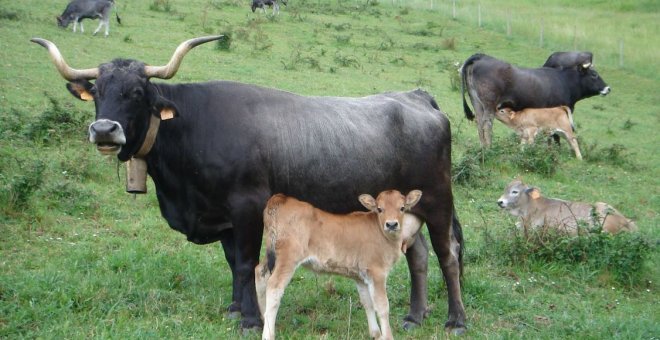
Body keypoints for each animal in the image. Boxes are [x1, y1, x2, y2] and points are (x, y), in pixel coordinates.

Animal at [255, 190, 420, 338]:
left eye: (402, 208)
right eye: (380, 209)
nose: (391, 224)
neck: (382, 234)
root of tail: (282, 198)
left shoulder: (361, 276)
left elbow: (367, 303)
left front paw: (376, 334)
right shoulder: (377, 272)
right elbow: (382, 306)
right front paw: (387, 336)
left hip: (272, 255)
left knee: (260, 273)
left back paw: (263, 320)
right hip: (288, 257)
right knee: (274, 286)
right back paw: (268, 334)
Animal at [462, 53, 612, 146]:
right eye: (594, 74)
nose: (608, 88)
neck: (564, 81)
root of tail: (482, 57)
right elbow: (555, 135)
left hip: (477, 102)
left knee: (479, 122)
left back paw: (482, 146)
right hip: (489, 104)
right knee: (487, 124)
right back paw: (489, 147)